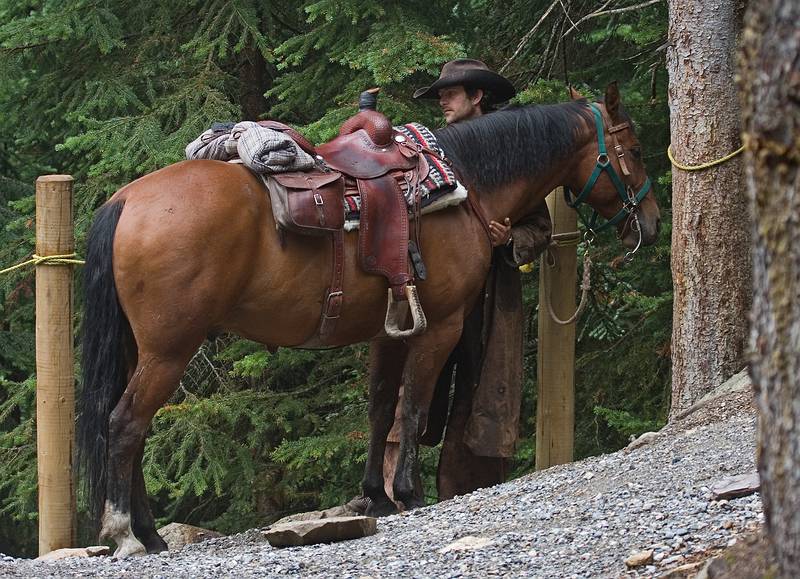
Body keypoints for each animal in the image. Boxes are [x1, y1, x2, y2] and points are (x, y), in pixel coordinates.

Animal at [78, 82, 660, 556]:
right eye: (633, 150)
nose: (651, 224)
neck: (466, 183)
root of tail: (126, 199)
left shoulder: (389, 330)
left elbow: (381, 408)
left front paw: (374, 496)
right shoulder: (441, 325)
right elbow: (413, 405)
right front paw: (407, 493)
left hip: (142, 350)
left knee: (130, 430)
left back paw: (152, 535)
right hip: (169, 350)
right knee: (125, 425)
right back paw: (126, 535)